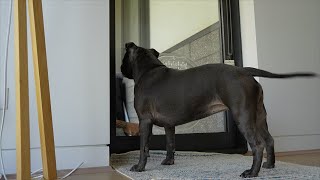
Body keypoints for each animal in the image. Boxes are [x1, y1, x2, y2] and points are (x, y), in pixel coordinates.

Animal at [121, 41, 316, 177]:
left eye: (123, 59)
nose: (121, 69)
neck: (149, 70)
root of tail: (244, 71)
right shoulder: (170, 125)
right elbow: (170, 144)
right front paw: (168, 162)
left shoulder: (144, 121)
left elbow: (143, 148)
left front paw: (139, 167)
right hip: (259, 117)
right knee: (269, 140)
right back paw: (269, 165)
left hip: (243, 116)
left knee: (258, 144)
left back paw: (252, 173)